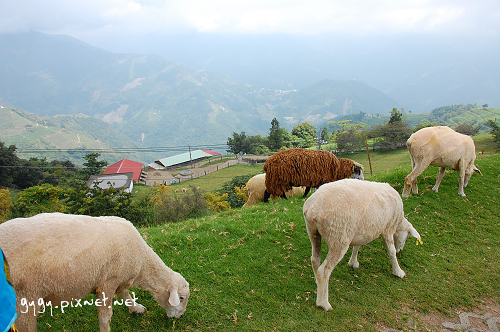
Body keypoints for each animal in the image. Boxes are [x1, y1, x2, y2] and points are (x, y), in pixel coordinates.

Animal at [0, 213, 190, 332]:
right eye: (181, 298)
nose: (180, 316)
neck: (142, 262)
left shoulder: (119, 277)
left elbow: (125, 294)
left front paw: (135, 308)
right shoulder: (108, 281)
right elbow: (106, 316)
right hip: (23, 298)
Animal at [300, 179, 422, 312]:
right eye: (407, 236)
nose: (401, 250)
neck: (399, 221)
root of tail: (313, 208)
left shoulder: (361, 230)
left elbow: (357, 246)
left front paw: (353, 262)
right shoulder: (388, 228)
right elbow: (391, 251)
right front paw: (398, 271)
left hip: (313, 231)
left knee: (315, 260)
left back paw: (318, 285)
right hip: (339, 237)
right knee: (324, 271)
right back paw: (323, 303)